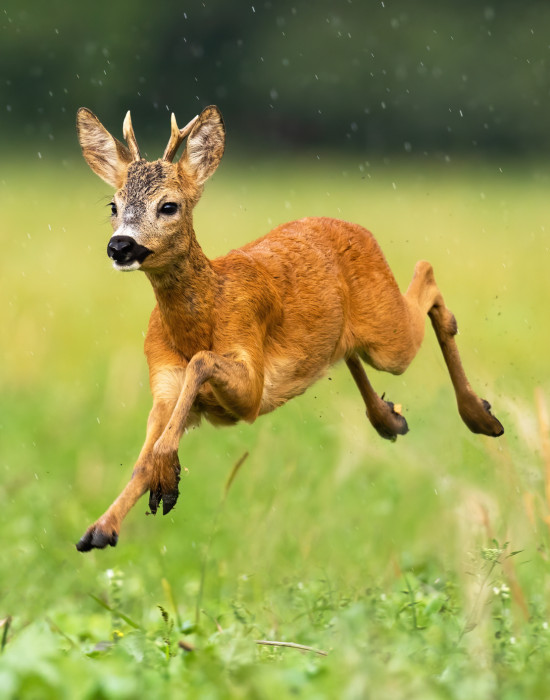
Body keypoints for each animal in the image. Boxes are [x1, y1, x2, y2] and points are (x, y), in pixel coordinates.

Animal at [75, 105, 504, 552]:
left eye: (169, 206)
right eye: (113, 205)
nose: (120, 246)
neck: (203, 316)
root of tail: (356, 227)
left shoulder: (250, 383)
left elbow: (202, 365)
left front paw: (164, 480)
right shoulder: (163, 385)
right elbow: (142, 459)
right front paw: (101, 529)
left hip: (388, 335)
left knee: (427, 276)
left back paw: (481, 417)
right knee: (350, 350)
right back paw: (390, 419)